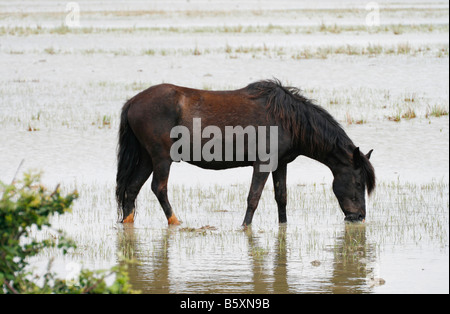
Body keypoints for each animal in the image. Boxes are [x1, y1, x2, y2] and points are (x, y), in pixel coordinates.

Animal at [116, 78, 376, 226]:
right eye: (359, 182)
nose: (359, 216)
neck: (287, 119)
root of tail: (133, 102)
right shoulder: (263, 164)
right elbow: (254, 197)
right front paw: (245, 226)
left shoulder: (280, 164)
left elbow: (281, 197)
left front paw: (283, 226)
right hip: (162, 157)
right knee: (158, 188)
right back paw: (175, 221)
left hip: (147, 158)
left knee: (132, 189)